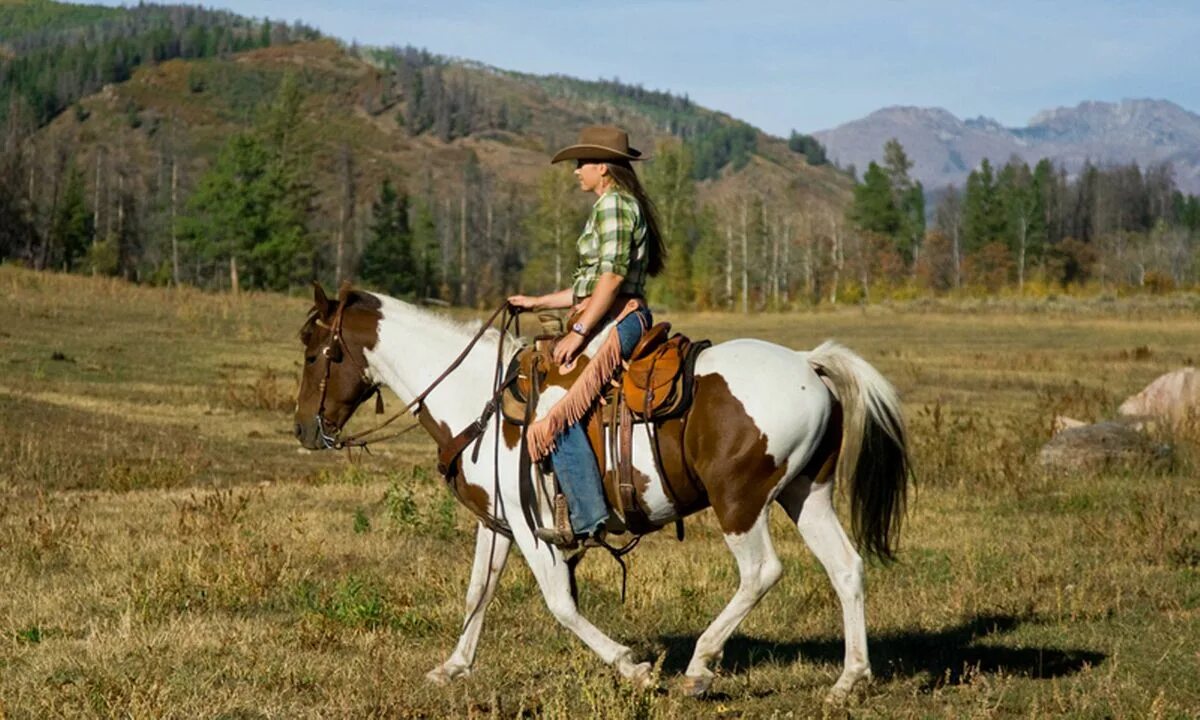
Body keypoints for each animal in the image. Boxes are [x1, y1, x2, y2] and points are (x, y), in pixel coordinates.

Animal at [292, 284, 907, 700]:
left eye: (315, 351)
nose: (303, 430)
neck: (477, 400)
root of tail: (808, 362)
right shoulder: (497, 523)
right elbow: (477, 594)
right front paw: (452, 667)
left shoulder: (532, 527)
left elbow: (560, 603)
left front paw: (632, 667)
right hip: (807, 493)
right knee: (846, 567)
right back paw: (849, 680)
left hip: (739, 502)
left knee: (761, 572)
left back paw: (699, 667)